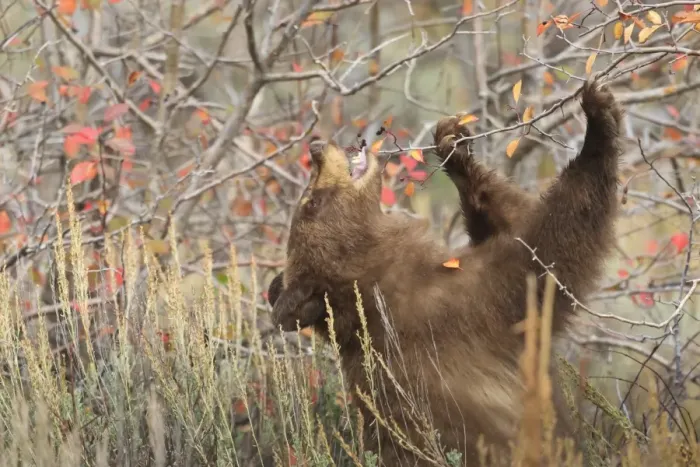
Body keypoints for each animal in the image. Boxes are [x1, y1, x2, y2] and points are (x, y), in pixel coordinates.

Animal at [267, 80, 623, 465]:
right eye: (311, 203)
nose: (316, 148)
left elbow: (508, 219)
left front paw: (454, 147)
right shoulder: (460, 307)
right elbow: (548, 253)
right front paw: (598, 119)